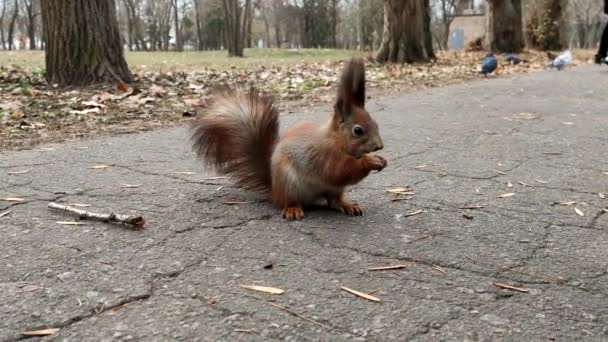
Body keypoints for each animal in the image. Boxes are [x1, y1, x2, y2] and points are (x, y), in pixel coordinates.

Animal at [192, 57, 388, 220]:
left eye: (376, 124)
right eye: (358, 130)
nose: (379, 146)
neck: (336, 141)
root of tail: (274, 190)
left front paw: (380, 160)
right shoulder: (323, 156)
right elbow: (339, 171)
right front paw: (370, 161)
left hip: (334, 190)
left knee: (333, 201)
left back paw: (346, 204)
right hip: (289, 184)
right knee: (290, 202)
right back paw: (292, 209)